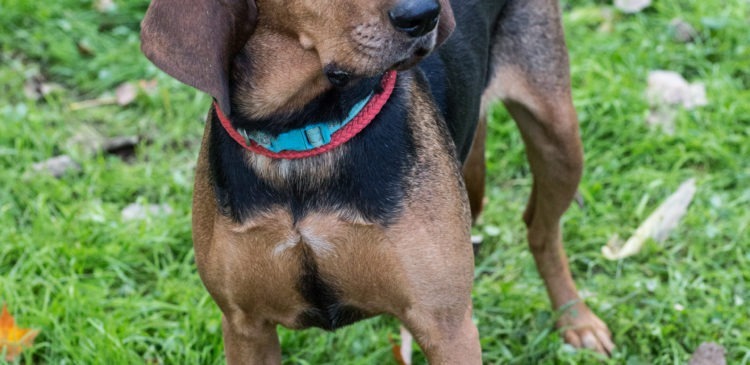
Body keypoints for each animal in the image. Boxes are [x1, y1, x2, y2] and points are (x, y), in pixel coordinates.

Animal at [141, 0, 616, 360]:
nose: (423, 14)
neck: (305, 134)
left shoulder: (447, 326)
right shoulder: (245, 327)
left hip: (560, 140)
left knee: (541, 229)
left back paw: (577, 320)